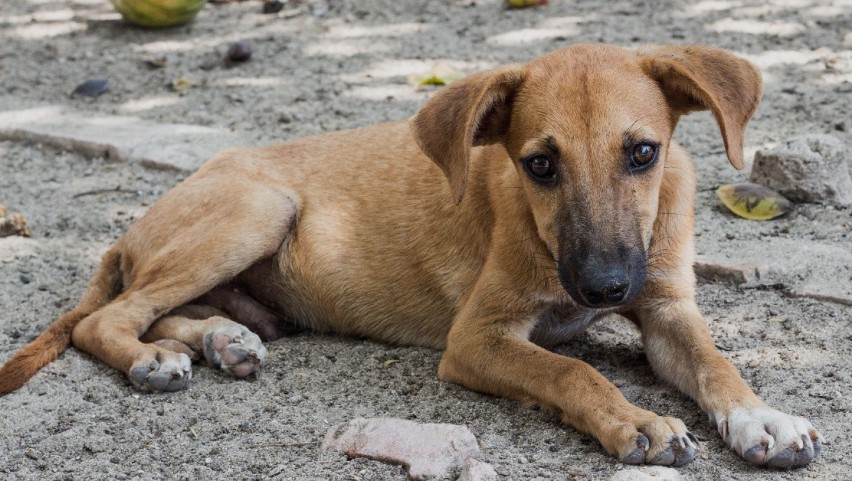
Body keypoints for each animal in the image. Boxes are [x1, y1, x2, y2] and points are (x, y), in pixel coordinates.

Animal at [1, 44, 824, 464]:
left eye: (643, 152)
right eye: (540, 165)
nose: (604, 287)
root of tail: (130, 227)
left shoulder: (667, 309)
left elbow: (717, 363)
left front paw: (764, 418)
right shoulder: (477, 338)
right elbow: (571, 369)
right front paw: (637, 421)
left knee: (170, 310)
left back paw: (222, 340)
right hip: (258, 209)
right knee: (106, 318)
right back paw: (154, 357)